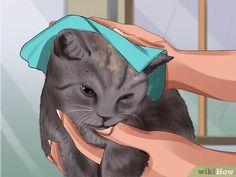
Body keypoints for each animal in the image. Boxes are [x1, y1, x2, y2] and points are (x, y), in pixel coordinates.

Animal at [40, 28, 195, 176]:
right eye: (87, 90)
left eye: (125, 97)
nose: (105, 116)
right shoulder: (57, 132)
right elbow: (73, 159)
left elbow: (119, 158)